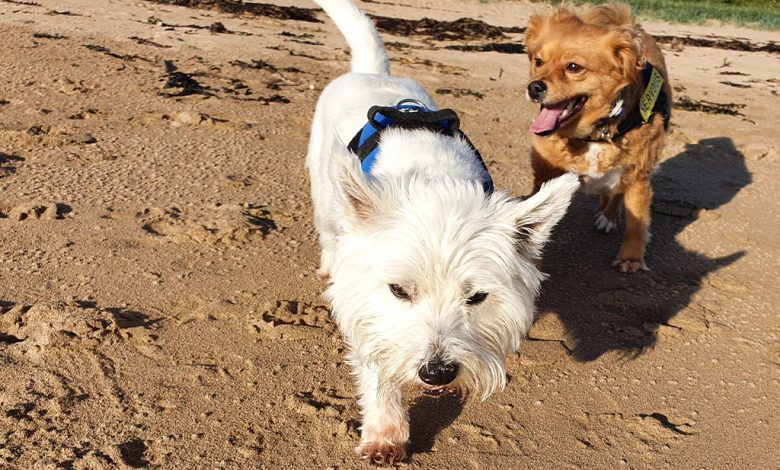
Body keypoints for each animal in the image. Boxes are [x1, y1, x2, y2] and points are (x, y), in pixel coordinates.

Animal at [306, 0, 580, 462]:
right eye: (399, 290)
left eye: (477, 297)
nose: (437, 373)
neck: (435, 182)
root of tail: (371, 72)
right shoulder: (365, 304)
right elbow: (378, 363)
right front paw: (385, 432)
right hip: (324, 189)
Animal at [524, 2, 672, 272]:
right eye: (538, 61)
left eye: (573, 67)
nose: (534, 87)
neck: (593, 134)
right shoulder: (546, 173)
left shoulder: (638, 177)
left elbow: (637, 223)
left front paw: (631, 258)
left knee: (616, 194)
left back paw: (610, 216)